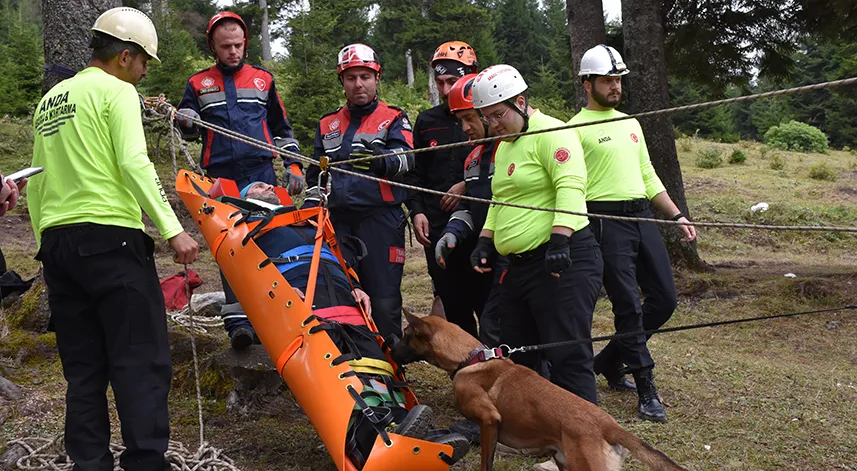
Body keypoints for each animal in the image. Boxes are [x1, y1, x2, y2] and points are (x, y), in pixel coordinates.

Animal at [392, 312, 684, 470]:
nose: (390, 349)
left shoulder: (489, 421)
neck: (471, 358)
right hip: (565, 461)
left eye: (405, 335)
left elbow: (487, 461)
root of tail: (609, 425)